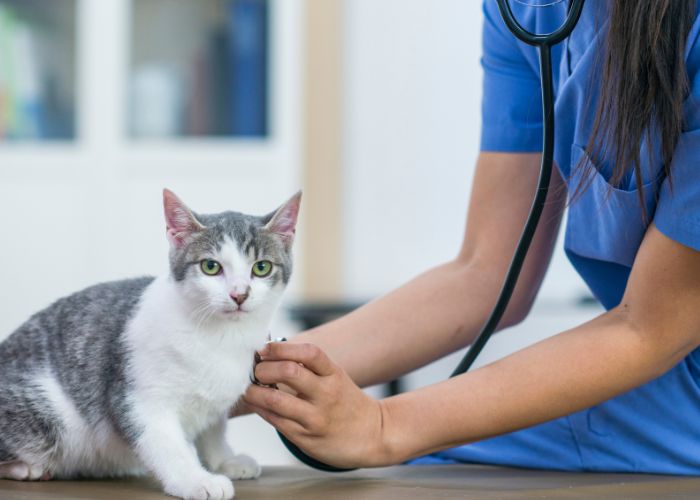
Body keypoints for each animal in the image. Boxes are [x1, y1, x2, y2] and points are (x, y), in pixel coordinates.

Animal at [0, 189, 298, 498]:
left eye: (261, 268)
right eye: (210, 266)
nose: (239, 294)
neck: (219, 336)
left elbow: (213, 429)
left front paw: (223, 460)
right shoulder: (139, 399)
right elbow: (166, 444)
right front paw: (196, 479)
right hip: (48, 415)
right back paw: (25, 468)